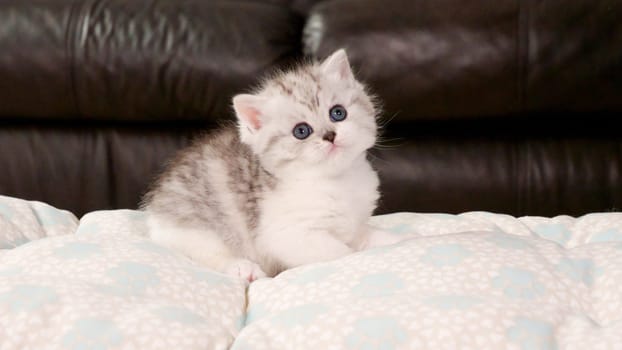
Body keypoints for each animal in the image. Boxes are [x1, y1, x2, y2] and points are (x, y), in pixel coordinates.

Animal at [141, 49, 398, 280]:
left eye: (338, 113)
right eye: (301, 131)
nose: (330, 135)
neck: (338, 181)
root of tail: (153, 213)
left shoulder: (355, 223)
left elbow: (368, 236)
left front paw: (399, 241)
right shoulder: (288, 236)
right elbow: (343, 253)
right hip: (193, 229)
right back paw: (243, 268)